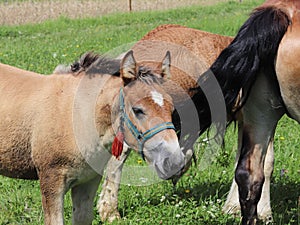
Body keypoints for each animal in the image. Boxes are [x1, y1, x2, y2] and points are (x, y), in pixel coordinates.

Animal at [0, 50, 185, 224]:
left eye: (171, 108)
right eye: (138, 110)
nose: (175, 162)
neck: (76, 116)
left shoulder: (88, 182)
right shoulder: (51, 182)